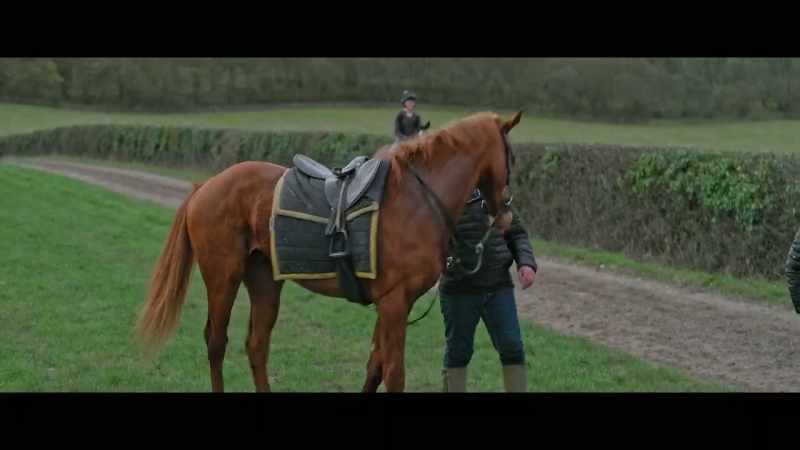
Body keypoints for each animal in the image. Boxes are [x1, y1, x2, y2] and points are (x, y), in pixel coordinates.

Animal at [135, 111, 523, 392]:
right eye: (511, 156)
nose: (507, 212)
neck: (417, 198)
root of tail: (206, 186)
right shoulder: (395, 303)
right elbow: (393, 372)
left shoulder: (388, 304)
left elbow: (375, 367)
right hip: (222, 278)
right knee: (216, 342)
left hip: (264, 280)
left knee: (256, 344)